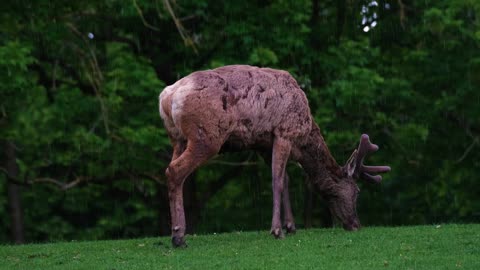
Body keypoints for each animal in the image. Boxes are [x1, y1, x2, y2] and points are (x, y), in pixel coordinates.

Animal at [158, 63, 390, 247]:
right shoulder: (284, 132)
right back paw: (178, 237)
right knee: (175, 170)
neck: (303, 139)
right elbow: (276, 180)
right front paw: (277, 231)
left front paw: (291, 226)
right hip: (206, 136)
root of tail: (167, 97)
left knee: (169, 170)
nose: (356, 224)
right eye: (357, 191)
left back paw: (175, 234)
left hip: (177, 138)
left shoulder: (263, 144)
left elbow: (285, 180)